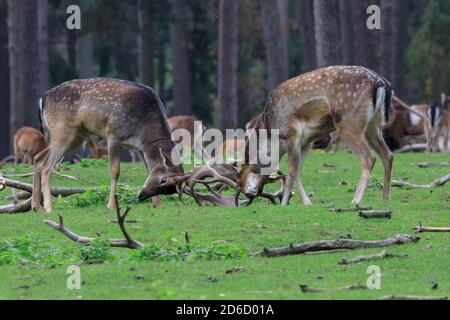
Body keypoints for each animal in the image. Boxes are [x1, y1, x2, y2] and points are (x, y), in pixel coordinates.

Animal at [32, 78, 185, 212]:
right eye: (163, 180)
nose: (141, 196)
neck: (143, 130)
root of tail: (42, 99)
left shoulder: (139, 148)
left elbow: (149, 169)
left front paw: (158, 205)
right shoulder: (113, 134)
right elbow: (115, 171)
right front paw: (111, 205)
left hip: (76, 135)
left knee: (38, 158)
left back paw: (36, 207)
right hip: (61, 129)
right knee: (47, 166)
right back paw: (48, 207)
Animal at [237, 67, 392, 208]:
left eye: (240, 179)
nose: (249, 194)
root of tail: (381, 83)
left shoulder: (292, 135)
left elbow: (292, 172)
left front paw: (286, 203)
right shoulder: (306, 142)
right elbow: (297, 171)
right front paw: (304, 202)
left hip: (349, 123)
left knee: (369, 157)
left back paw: (356, 200)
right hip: (373, 125)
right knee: (388, 155)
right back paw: (385, 198)